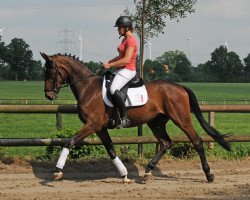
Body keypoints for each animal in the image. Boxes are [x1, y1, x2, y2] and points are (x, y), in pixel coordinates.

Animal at [40, 52, 230, 183]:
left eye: (51, 72)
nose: (49, 95)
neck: (88, 88)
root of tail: (180, 87)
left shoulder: (92, 125)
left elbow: (69, 142)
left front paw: (57, 171)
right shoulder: (100, 128)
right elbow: (111, 150)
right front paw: (124, 175)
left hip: (181, 119)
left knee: (197, 141)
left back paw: (209, 174)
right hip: (156, 122)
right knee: (166, 143)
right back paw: (147, 171)